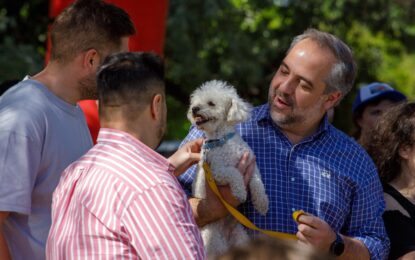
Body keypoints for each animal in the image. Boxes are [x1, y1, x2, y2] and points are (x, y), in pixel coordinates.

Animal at [188, 79, 270, 258]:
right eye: (195, 102)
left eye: (211, 103)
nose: (194, 109)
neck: (222, 140)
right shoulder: (217, 171)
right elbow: (234, 173)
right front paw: (239, 192)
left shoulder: (251, 165)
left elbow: (257, 183)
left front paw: (262, 202)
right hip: (213, 241)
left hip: (241, 238)